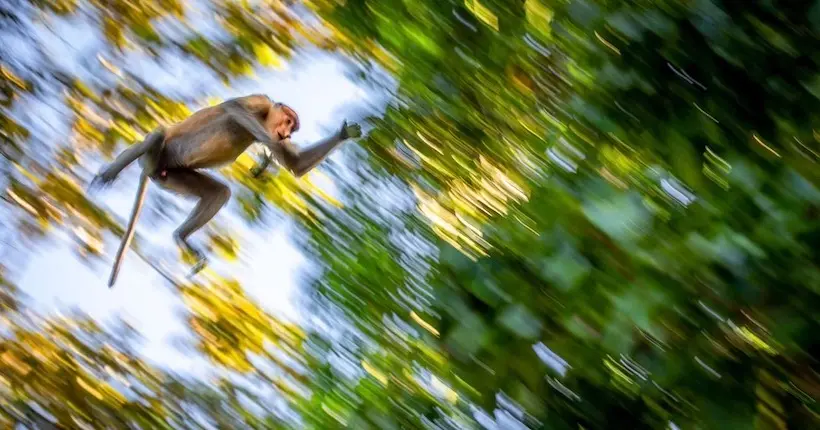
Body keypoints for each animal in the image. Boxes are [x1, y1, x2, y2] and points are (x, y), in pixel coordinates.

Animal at [89, 95, 362, 288]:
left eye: (291, 128)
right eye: (288, 122)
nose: (285, 134)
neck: (266, 118)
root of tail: (152, 168)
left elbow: (295, 164)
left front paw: (344, 134)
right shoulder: (260, 101)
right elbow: (235, 108)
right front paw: (267, 150)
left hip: (172, 174)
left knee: (219, 193)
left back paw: (181, 237)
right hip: (164, 153)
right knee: (158, 135)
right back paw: (111, 172)